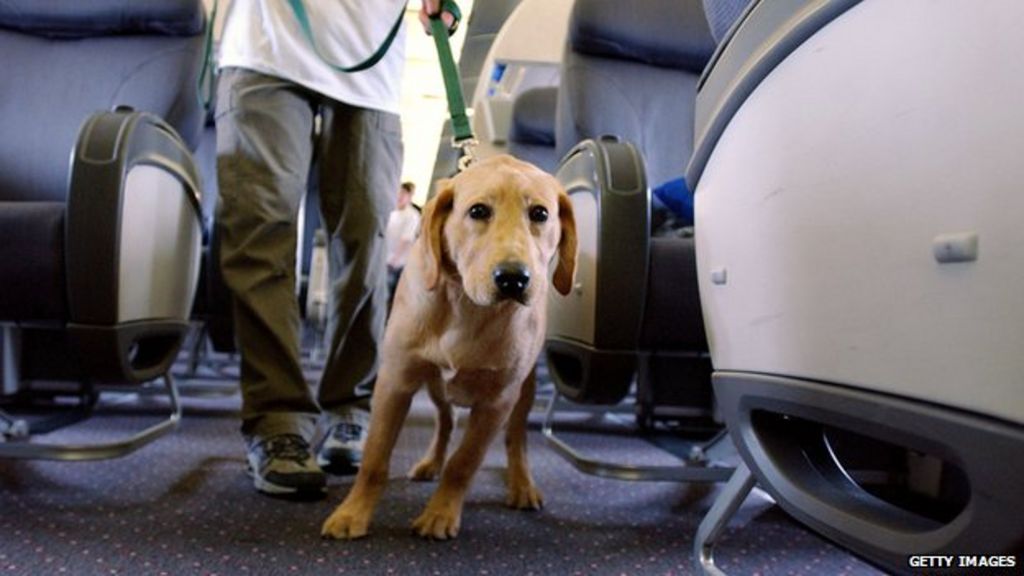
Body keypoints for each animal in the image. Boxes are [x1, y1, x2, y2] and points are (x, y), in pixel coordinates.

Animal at [321, 152, 577, 537]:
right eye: (478, 211)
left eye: (540, 214)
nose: (513, 279)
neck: (465, 307)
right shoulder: (395, 381)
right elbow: (375, 458)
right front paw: (353, 513)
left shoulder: (497, 402)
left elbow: (463, 463)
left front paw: (441, 513)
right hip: (436, 387)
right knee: (446, 422)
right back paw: (430, 462)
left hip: (524, 390)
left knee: (516, 439)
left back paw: (522, 484)